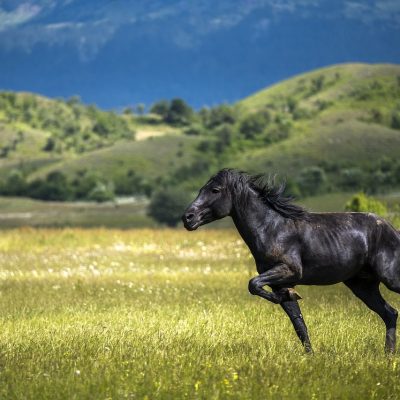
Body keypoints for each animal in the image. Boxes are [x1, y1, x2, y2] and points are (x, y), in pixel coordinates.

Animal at [182, 169, 400, 354]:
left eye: (215, 190)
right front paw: (309, 354)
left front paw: (292, 295)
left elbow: (253, 284)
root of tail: (393, 231)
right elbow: (298, 323)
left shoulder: (289, 270)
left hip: (390, 279)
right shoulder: (280, 282)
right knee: (390, 313)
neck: (272, 229)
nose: (187, 218)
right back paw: (388, 355)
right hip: (362, 285)